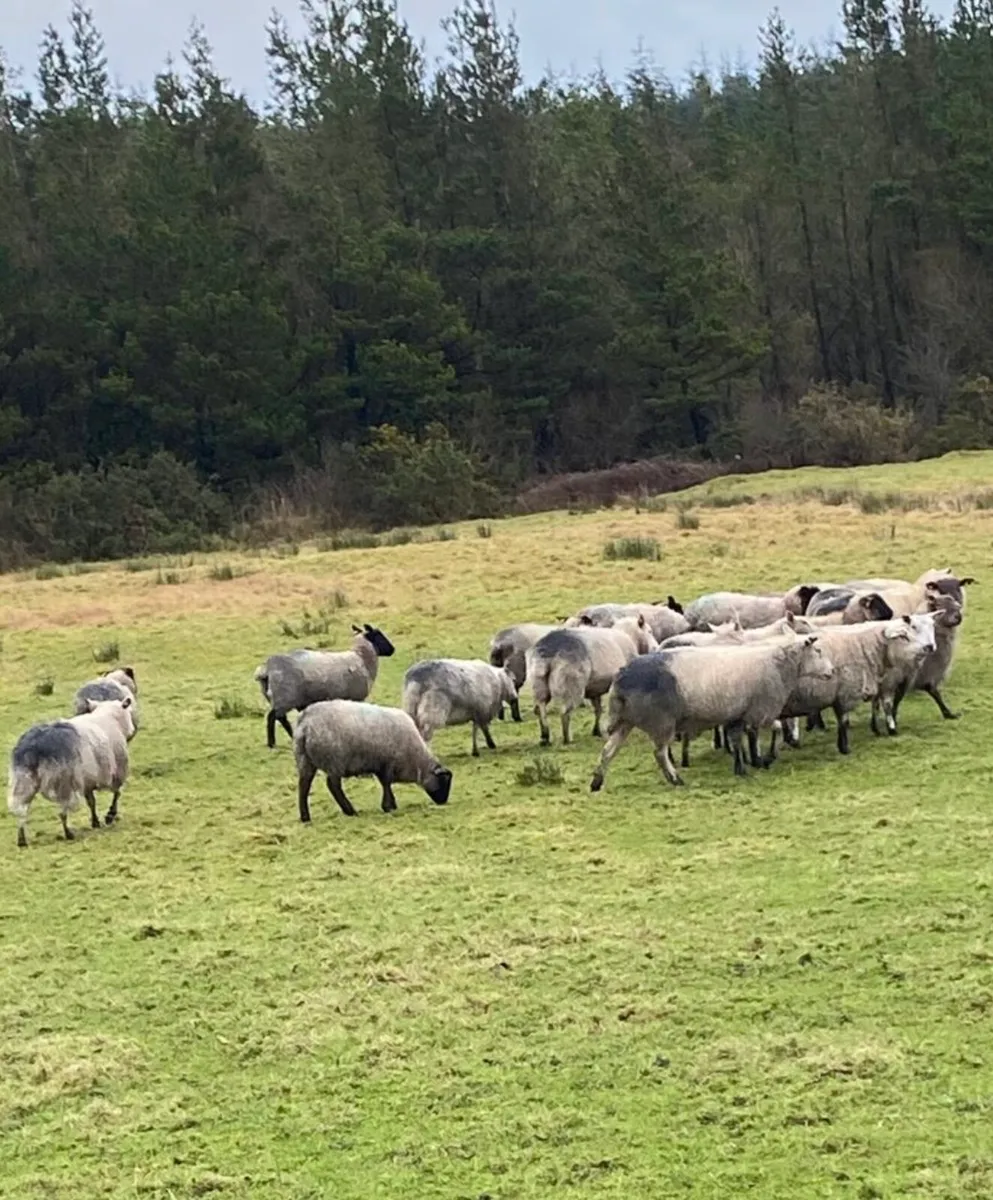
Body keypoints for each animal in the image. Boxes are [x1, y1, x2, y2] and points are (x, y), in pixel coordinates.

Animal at [7, 697, 136, 847]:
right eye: (128, 712)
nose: (133, 730)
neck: (110, 717)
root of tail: (35, 748)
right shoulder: (116, 772)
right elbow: (117, 793)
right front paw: (110, 816)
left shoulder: (87, 780)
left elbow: (91, 802)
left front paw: (95, 822)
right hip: (64, 780)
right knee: (62, 811)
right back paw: (68, 833)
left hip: (24, 780)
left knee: (21, 811)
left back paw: (21, 839)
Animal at [255, 623, 395, 749]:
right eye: (378, 634)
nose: (392, 649)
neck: (361, 658)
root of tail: (266, 669)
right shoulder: (356, 698)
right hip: (284, 697)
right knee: (275, 717)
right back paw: (274, 742)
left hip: (277, 698)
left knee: (278, 718)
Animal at [293, 700, 453, 821]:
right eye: (444, 781)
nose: (443, 802)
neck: (416, 760)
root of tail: (305, 723)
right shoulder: (388, 764)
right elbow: (387, 784)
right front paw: (389, 806)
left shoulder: (380, 765)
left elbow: (384, 783)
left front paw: (390, 804)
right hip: (334, 760)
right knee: (333, 785)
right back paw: (350, 811)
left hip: (305, 759)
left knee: (304, 785)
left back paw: (305, 817)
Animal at [527, 617, 659, 745]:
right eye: (649, 631)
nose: (656, 648)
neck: (629, 636)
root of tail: (549, 649)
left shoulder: (595, 689)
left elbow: (598, 710)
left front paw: (597, 731)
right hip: (571, 685)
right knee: (564, 711)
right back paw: (567, 739)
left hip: (538, 683)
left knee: (539, 708)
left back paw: (545, 737)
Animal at [589, 630, 834, 790]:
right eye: (818, 651)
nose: (832, 672)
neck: (779, 664)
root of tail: (621, 678)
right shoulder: (759, 711)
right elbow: (772, 730)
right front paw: (763, 759)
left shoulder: (738, 715)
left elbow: (737, 740)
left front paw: (742, 766)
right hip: (661, 722)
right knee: (659, 753)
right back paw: (675, 779)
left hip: (626, 721)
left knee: (608, 750)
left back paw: (596, 782)